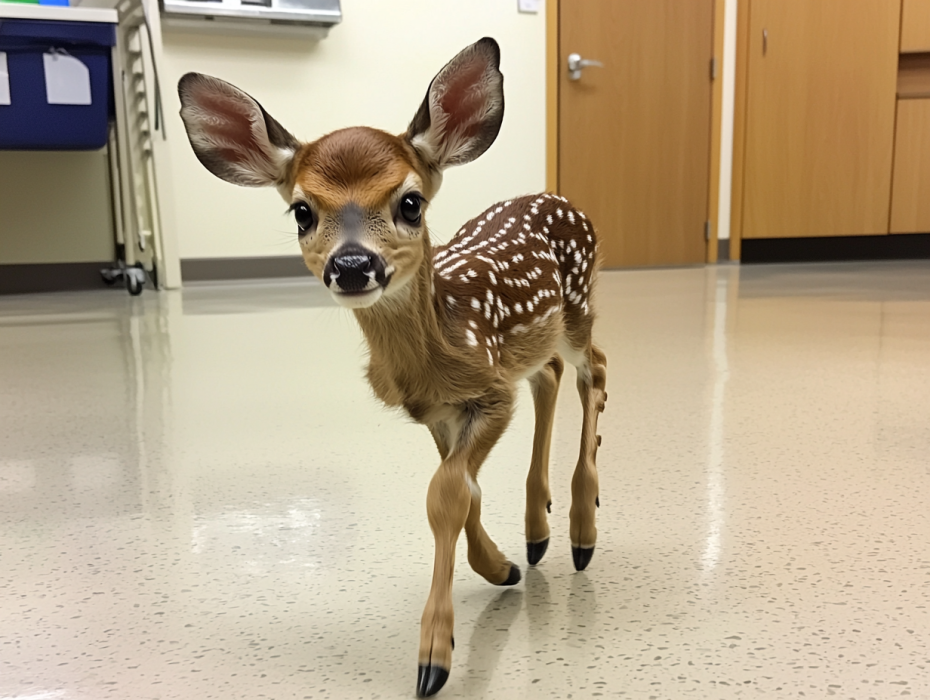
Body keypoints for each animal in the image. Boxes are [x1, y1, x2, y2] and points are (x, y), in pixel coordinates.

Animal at [177, 37, 607, 698]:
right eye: (302, 212)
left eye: (410, 202)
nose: (353, 265)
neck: (440, 342)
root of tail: (561, 199)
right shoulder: (438, 410)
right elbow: (465, 489)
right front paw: (501, 565)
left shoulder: (490, 393)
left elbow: (447, 494)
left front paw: (435, 656)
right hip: (539, 339)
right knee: (552, 375)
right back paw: (537, 533)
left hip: (581, 307)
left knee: (595, 372)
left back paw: (583, 533)